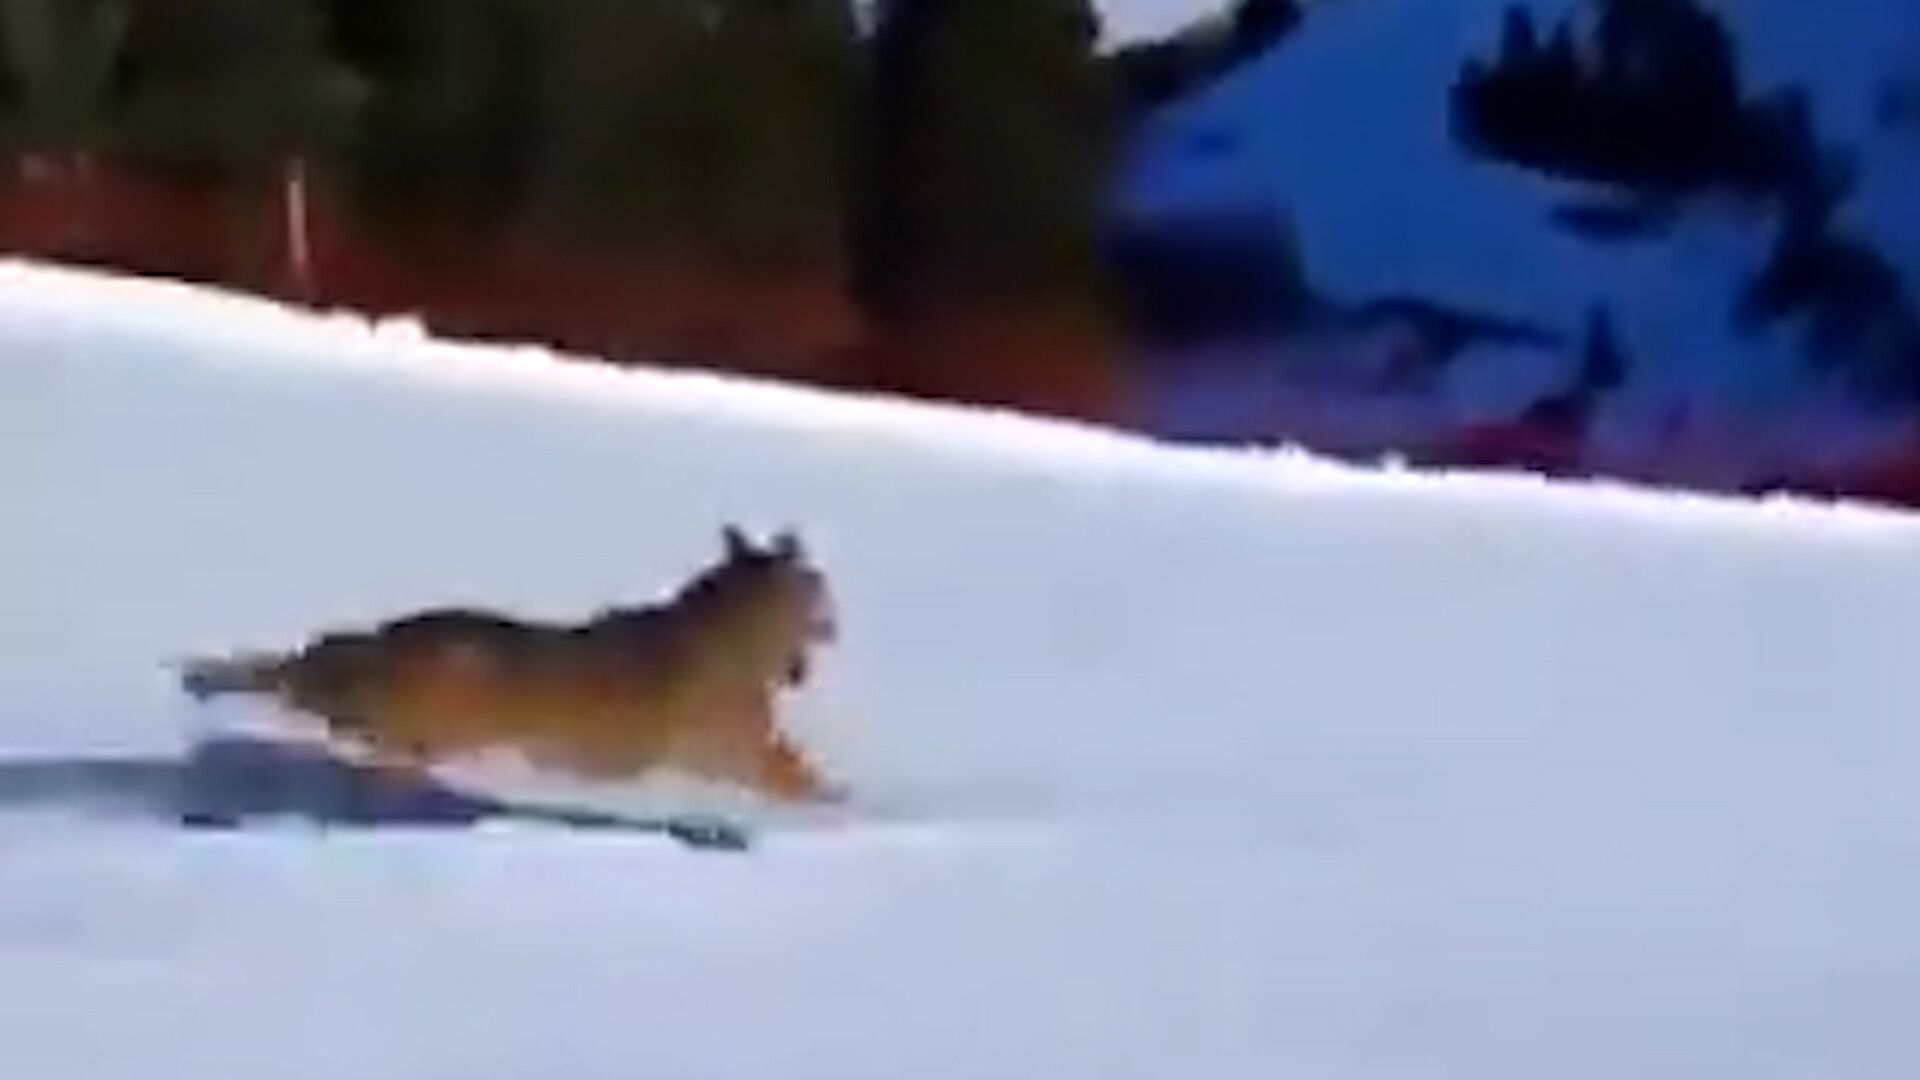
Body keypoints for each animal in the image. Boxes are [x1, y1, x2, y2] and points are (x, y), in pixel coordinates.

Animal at [177, 526, 843, 804]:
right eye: (816, 587)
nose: (836, 622)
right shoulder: (736, 744)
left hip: (391, 702)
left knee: (309, 673)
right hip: (416, 709)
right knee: (309, 683)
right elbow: (796, 776)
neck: (729, 632)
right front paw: (841, 805)